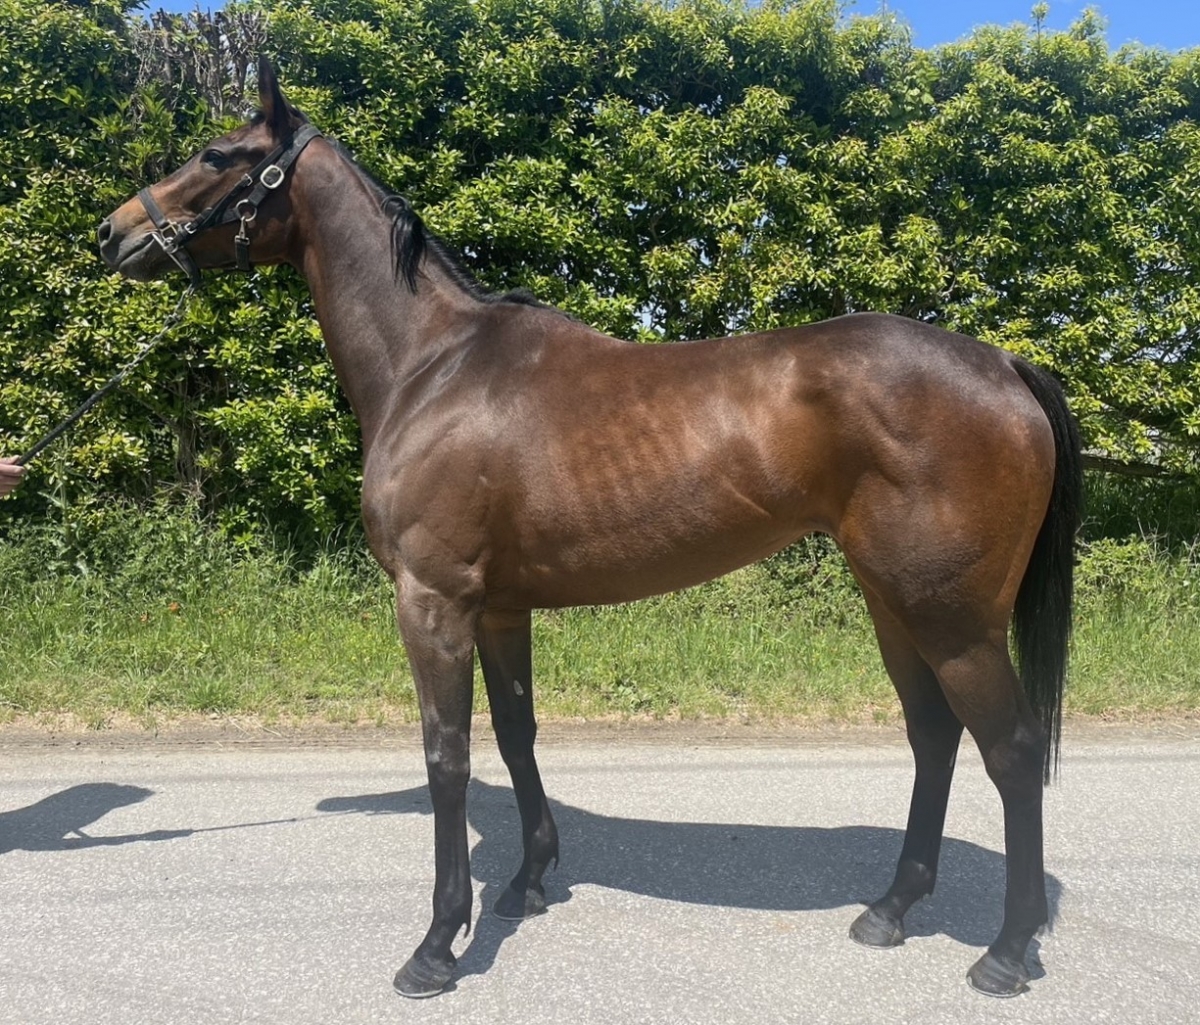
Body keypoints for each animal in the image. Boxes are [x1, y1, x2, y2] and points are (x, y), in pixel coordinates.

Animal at [98, 58, 1081, 1000]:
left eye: (218, 154)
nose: (115, 233)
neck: (435, 366)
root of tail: (1004, 364)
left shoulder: (433, 601)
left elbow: (447, 755)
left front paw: (437, 945)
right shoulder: (499, 607)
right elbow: (517, 731)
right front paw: (528, 881)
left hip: (954, 619)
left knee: (1011, 749)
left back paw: (1005, 950)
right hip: (894, 602)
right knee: (934, 736)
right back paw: (890, 908)